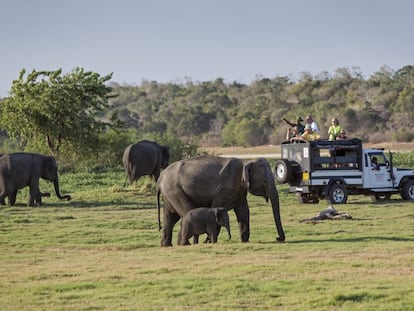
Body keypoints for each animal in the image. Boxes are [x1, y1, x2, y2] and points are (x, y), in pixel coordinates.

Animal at [155, 155, 284, 247]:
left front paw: (244, 241)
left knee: (170, 218)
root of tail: (160, 179)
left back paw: (167, 245)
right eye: (264, 182)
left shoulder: (240, 191)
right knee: (186, 211)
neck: (245, 161)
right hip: (175, 191)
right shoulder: (225, 189)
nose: (278, 238)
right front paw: (208, 241)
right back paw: (185, 244)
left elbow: (243, 212)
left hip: (170, 195)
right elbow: (217, 207)